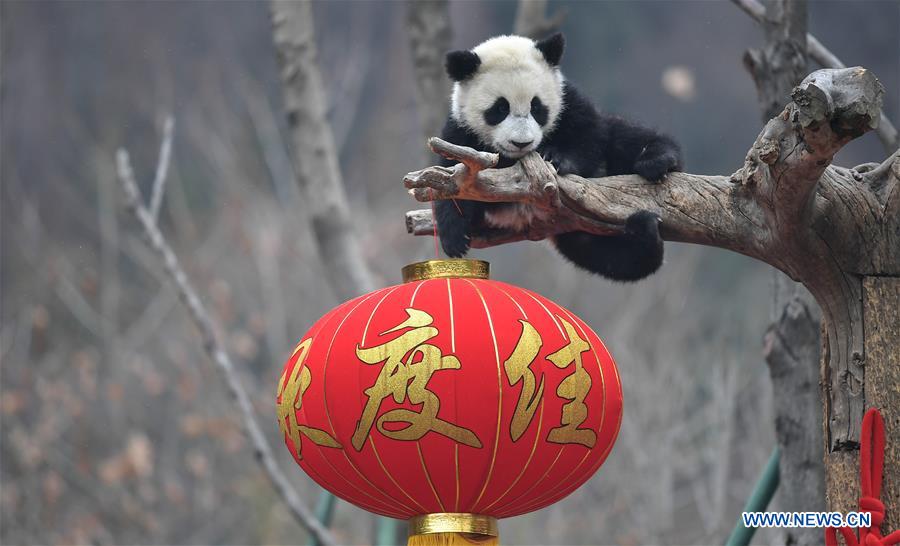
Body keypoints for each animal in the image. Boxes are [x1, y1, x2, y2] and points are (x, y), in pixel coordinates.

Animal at [436, 33, 684, 280]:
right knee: (602, 254)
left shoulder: (568, 103)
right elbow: (453, 178)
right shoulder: (460, 132)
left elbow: (589, 136)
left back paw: (657, 163)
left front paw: (558, 159)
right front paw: (455, 238)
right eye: (499, 109)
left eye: (537, 107)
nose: (521, 143)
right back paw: (642, 231)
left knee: (626, 137)